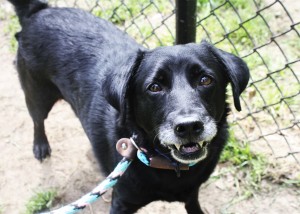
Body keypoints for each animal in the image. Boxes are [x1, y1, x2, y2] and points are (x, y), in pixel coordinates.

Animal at [8, 0, 250, 213]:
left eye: (205, 80)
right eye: (154, 87)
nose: (189, 126)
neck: (170, 166)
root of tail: (39, 10)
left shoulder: (192, 192)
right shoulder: (121, 203)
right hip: (37, 95)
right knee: (37, 120)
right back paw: (40, 146)